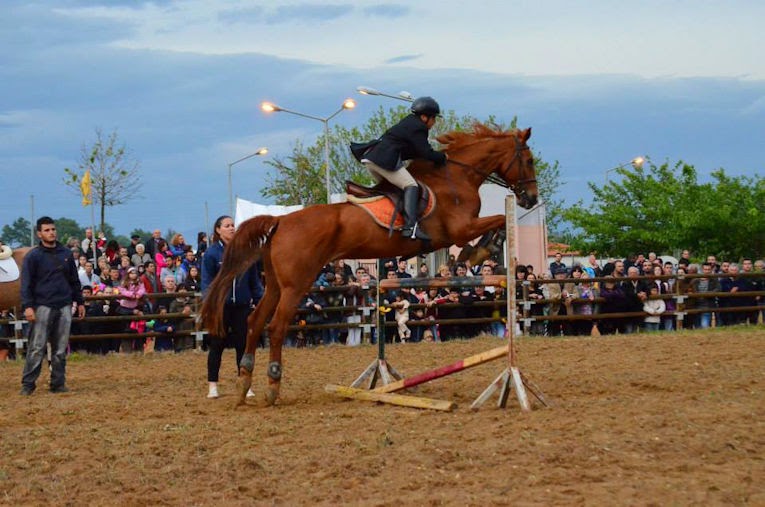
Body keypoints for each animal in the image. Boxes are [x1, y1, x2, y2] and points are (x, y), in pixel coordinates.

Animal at [201, 123, 536, 404]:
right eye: (529, 160)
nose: (531, 199)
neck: (456, 178)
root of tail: (281, 220)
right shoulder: (459, 229)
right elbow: (497, 221)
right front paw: (480, 252)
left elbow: (496, 223)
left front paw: (477, 252)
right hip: (297, 285)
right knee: (277, 326)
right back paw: (272, 385)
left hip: (274, 284)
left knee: (255, 321)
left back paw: (244, 381)